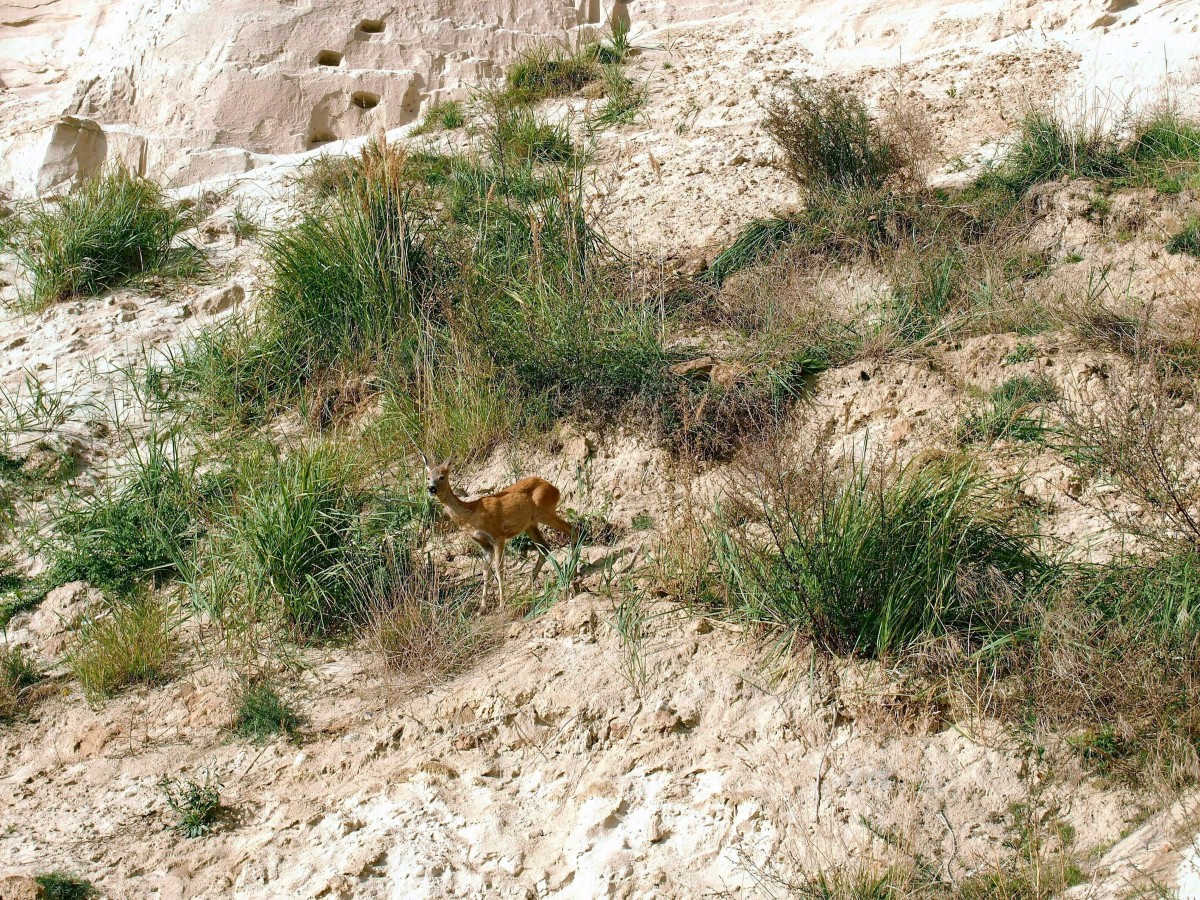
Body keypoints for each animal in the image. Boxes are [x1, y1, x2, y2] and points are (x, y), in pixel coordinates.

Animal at [422, 453, 576, 609]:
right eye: (428, 477)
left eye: (442, 477)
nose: (431, 489)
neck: (472, 515)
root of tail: (555, 489)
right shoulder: (484, 544)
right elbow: (485, 571)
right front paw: (482, 607)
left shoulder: (498, 536)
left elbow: (499, 569)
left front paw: (502, 604)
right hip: (530, 524)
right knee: (545, 548)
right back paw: (528, 585)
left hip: (544, 511)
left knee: (573, 530)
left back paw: (572, 573)